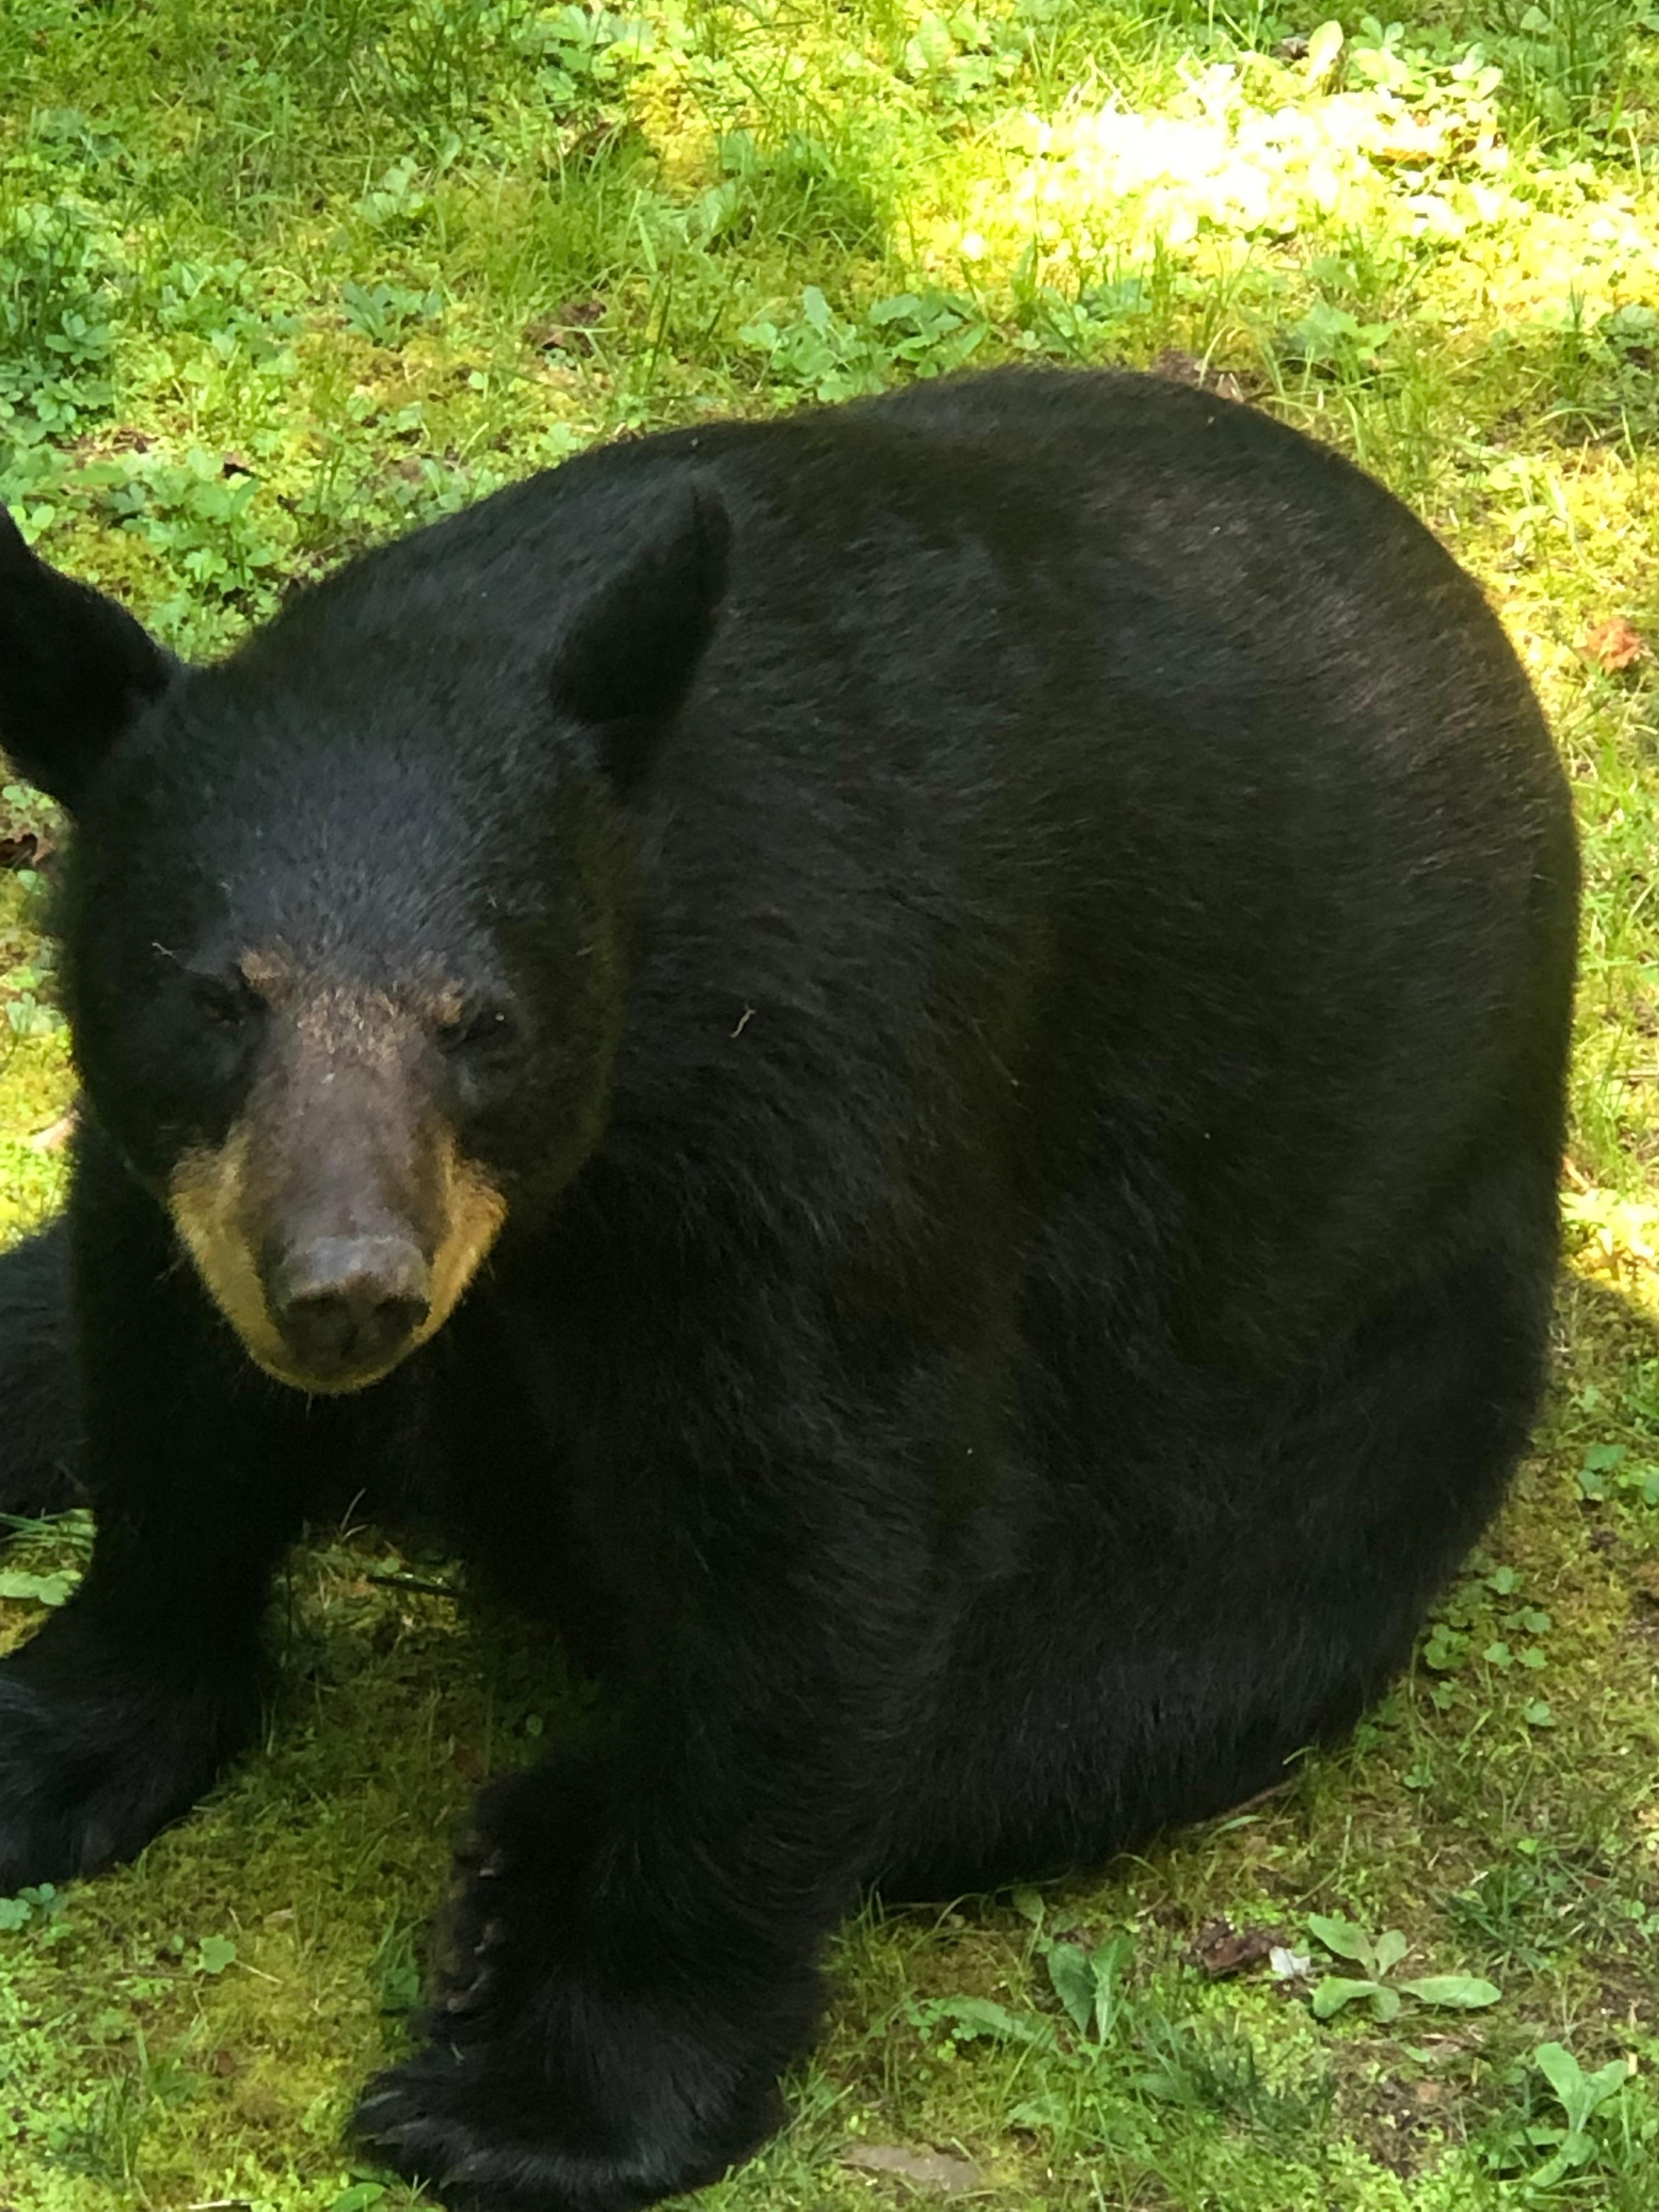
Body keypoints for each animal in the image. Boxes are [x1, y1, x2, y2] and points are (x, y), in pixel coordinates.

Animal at [0, 367, 1576, 2212]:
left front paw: (558, 2099)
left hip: (1361, 1386)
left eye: (487, 1023)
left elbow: (812, 1548)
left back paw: (533, 1867)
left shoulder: (823, 1089)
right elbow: (160, 1378)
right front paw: (65, 1734)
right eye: (214, 997)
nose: (348, 1293)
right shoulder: (187, 1188)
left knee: (1116, 1685)